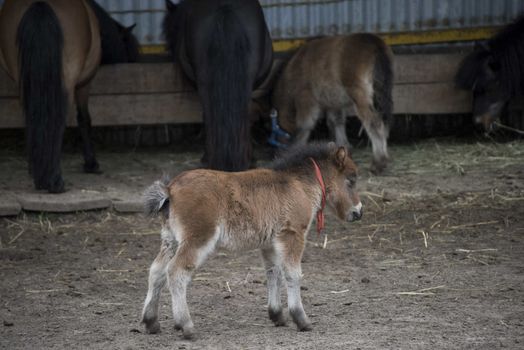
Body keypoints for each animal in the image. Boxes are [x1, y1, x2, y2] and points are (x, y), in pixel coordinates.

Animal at [141, 142, 362, 340]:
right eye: (351, 180)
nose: (358, 212)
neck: (297, 184)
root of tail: (170, 189)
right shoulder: (293, 234)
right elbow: (292, 274)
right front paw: (301, 320)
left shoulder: (270, 242)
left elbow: (273, 272)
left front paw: (277, 315)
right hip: (197, 239)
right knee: (176, 272)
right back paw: (186, 326)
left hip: (170, 240)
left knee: (156, 271)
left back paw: (151, 322)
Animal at [272, 34, 390, 174]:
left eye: (276, 128)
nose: (276, 154)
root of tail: (372, 40)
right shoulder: (333, 103)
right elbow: (336, 122)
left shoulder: (306, 98)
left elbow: (304, 126)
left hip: (359, 95)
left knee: (374, 123)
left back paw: (378, 163)